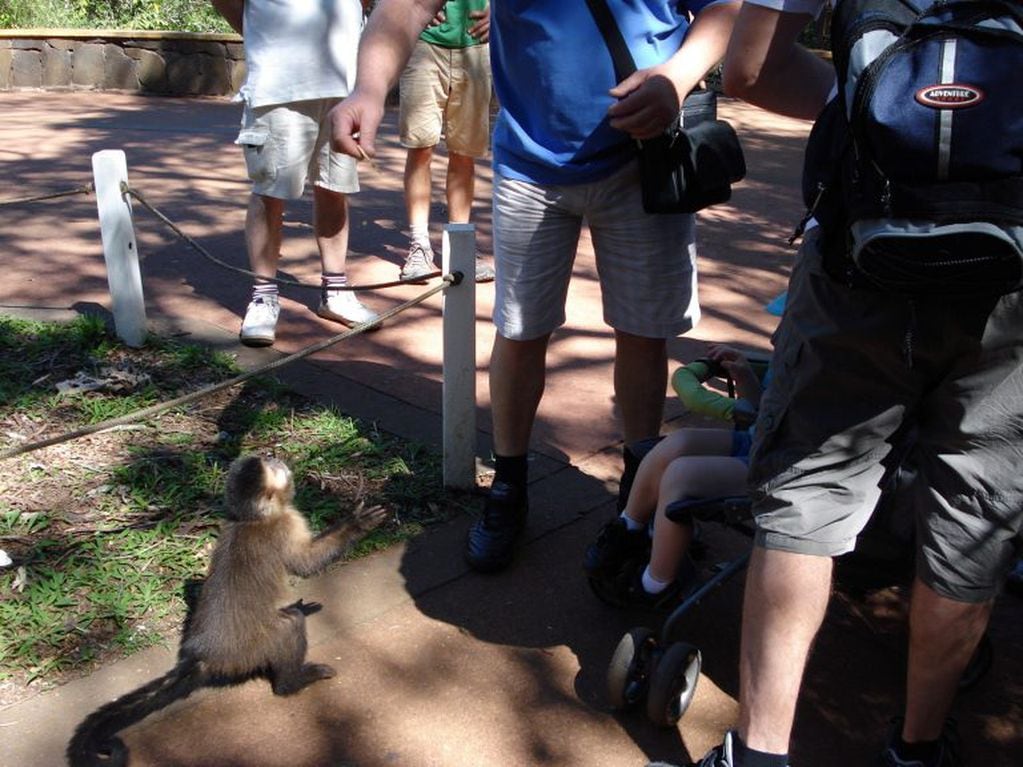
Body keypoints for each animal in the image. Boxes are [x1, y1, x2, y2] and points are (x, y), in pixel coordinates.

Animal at [65, 456, 388, 767]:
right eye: (272, 466)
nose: (278, 458)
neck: (254, 519)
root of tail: (204, 655)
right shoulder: (285, 524)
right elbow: (306, 564)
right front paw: (356, 525)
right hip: (254, 647)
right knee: (288, 627)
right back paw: (292, 681)